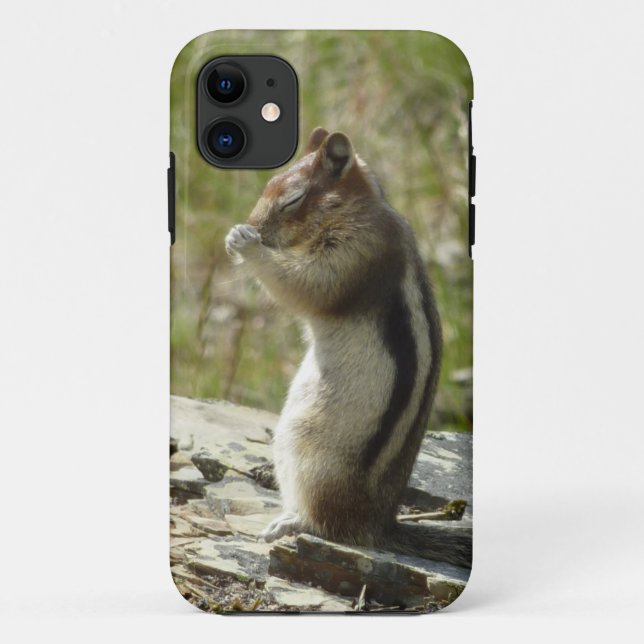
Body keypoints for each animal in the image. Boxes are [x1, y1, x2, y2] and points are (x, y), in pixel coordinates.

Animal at [225, 127, 471, 568]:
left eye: (291, 200)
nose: (255, 225)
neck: (359, 209)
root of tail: (378, 525)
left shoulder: (355, 253)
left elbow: (307, 284)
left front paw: (246, 243)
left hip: (307, 452)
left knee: (328, 525)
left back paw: (290, 522)